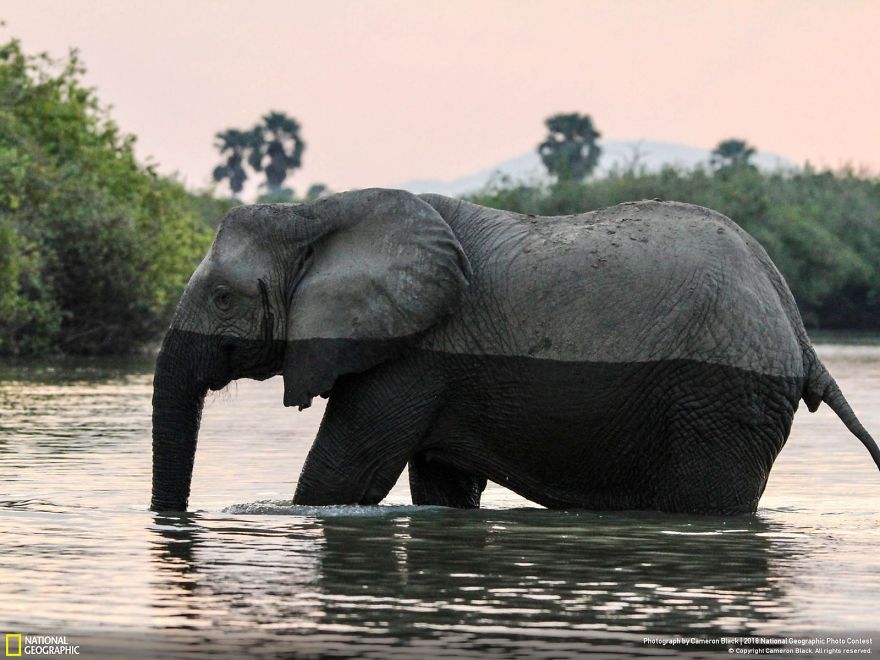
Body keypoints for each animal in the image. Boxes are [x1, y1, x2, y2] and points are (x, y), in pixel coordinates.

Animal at [148, 188, 876, 512]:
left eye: (221, 297)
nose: (169, 520)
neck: (320, 212)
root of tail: (797, 327)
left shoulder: (419, 353)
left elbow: (343, 477)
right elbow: (441, 488)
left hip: (720, 400)